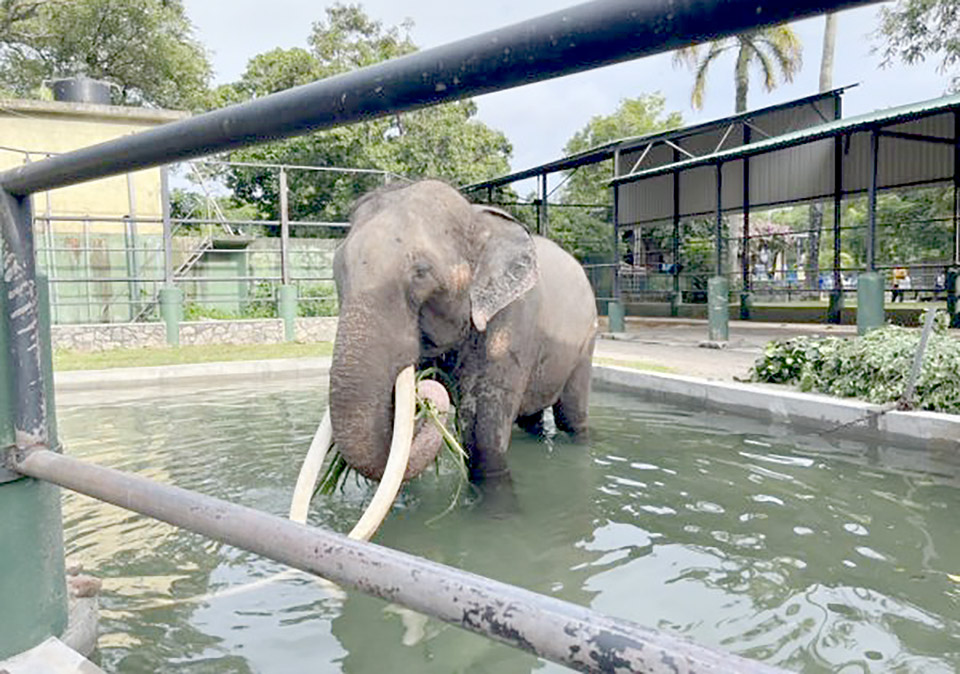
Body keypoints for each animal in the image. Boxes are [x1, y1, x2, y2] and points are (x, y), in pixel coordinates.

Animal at [327, 179, 598, 486]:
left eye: (421, 273)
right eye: (337, 270)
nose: (425, 397)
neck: (476, 217)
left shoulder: (513, 319)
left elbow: (482, 436)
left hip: (586, 340)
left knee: (570, 416)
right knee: (531, 417)